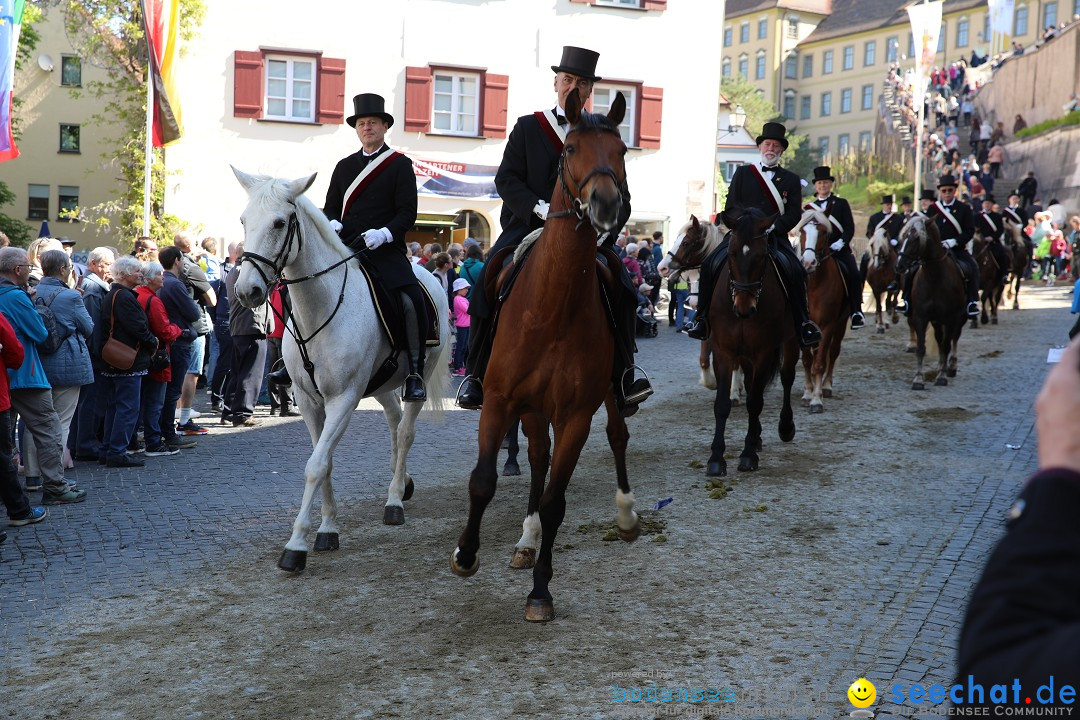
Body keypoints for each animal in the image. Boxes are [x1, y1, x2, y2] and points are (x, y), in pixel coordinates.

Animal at [232, 169, 451, 574]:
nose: (247, 291)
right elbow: (326, 462)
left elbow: (316, 465)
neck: (319, 307)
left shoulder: (343, 400)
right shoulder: (308, 401)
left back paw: (394, 500)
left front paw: (297, 544)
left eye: (280, 223)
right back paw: (402, 482)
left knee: (406, 431)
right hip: (381, 384)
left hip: (419, 378)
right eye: (243, 220)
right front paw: (328, 528)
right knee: (393, 424)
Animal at [449, 90, 639, 621]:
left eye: (621, 152)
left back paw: (625, 515)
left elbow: (557, 500)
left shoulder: (576, 414)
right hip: (530, 408)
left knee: (617, 437)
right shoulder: (498, 401)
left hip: (603, 396)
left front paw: (540, 591)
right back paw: (526, 541)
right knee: (536, 457)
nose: (606, 205)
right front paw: (466, 555)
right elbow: (483, 480)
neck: (554, 305)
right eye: (570, 148)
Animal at [669, 209, 799, 479]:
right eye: (731, 254)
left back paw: (785, 426)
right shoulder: (723, 349)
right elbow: (722, 403)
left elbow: (755, 401)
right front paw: (717, 458)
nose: (666, 267)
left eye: (686, 242)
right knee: (752, 383)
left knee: (786, 377)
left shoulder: (762, 352)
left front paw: (748, 454)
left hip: (790, 342)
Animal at [790, 209, 846, 410]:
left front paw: (816, 399)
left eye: (823, 233)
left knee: (833, 352)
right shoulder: (802, 326)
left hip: (840, 324)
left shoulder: (828, 325)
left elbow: (820, 362)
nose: (808, 263)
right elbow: (807, 361)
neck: (814, 286)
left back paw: (826, 387)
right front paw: (808, 393)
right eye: (802, 232)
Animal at [894, 215, 972, 390]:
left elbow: (946, 345)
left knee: (953, 338)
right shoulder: (920, 317)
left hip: (959, 317)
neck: (935, 277)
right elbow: (921, 348)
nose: (899, 265)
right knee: (940, 339)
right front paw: (918, 379)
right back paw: (940, 366)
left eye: (917, 238)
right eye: (903, 237)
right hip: (936, 321)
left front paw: (942, 377)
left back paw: (950, 367)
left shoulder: (950, 318)